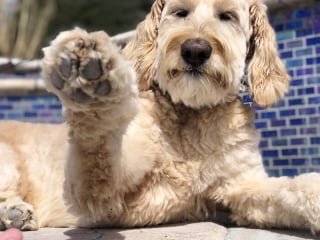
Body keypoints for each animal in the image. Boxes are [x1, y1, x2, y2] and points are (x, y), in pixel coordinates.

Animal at [0, 0, 320, 234]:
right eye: (180, 12)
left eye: (227, 16)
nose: (195, 50)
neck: (193, 116)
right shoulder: (102, 196)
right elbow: (97, 146)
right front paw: (89, 79)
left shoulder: (241, 185)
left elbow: (293, 187)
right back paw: (12, 212)